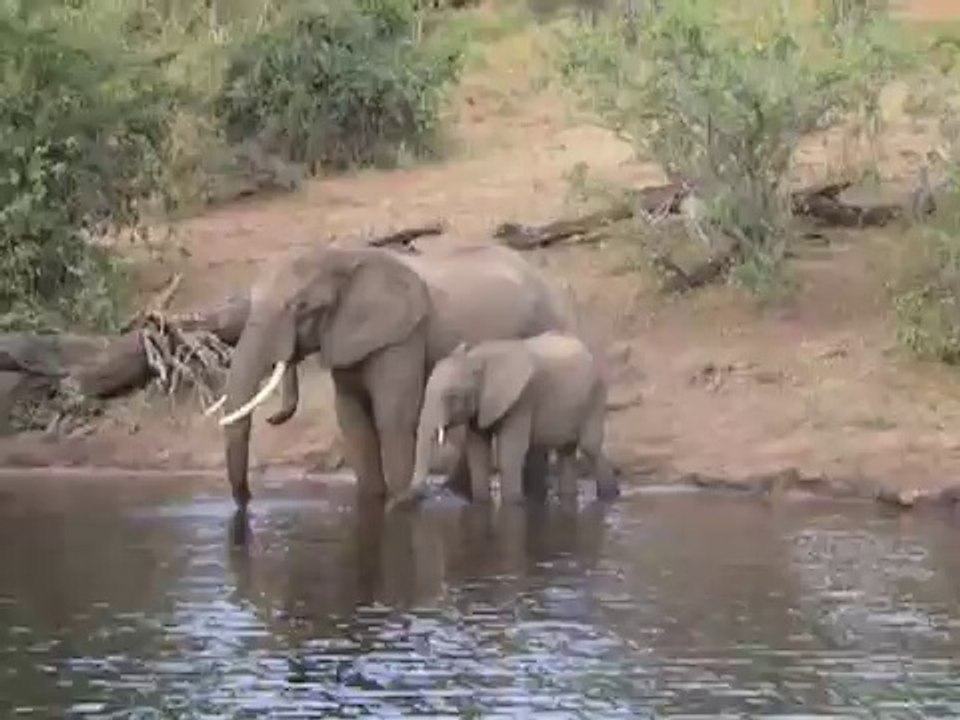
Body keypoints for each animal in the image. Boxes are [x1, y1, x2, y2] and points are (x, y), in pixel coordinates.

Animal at [208, 243, 572, 508]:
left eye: (301, 307)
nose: (246, 500)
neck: (341, 257)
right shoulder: (347, 339)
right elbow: (354, 421)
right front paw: (374, 501)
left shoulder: (402, 337)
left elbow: (393, 417)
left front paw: (400, 502)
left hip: (542, 329)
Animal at [395, 331, 621, 507]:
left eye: (451, 396)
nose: (420, 496)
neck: (478, 359)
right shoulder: (482, 405)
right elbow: (478, 453)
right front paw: (481, 503)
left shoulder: (522, 400)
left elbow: (509, 453)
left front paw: (514, 503)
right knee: (567, 451)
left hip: (595, 395)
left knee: (590, 446)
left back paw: (610, 497)